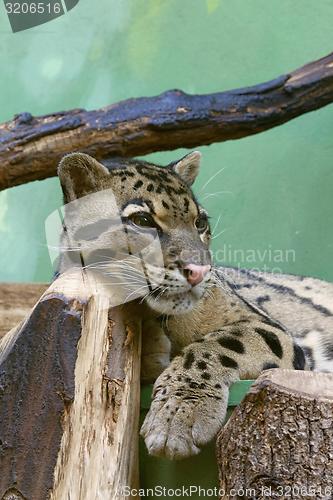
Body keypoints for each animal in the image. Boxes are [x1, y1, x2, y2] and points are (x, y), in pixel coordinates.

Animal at [57, 150, 332, 458]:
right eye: (142, 219)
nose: (199, 271)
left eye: (200, 222)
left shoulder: (268, 327)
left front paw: (177, 416)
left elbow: (218, 344)